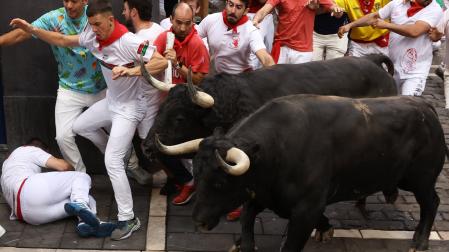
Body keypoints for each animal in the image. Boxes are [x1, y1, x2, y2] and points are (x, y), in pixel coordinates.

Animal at [191, 94, 446, 252]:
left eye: (219, 183)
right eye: (197, 176)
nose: (199, 222)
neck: (278, 147)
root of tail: (425, 107)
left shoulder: (306, 208)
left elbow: (290, 243)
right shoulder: (263, 192)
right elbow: (246, 216)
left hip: (421, 179)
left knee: (432, 202)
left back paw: (420, 242)